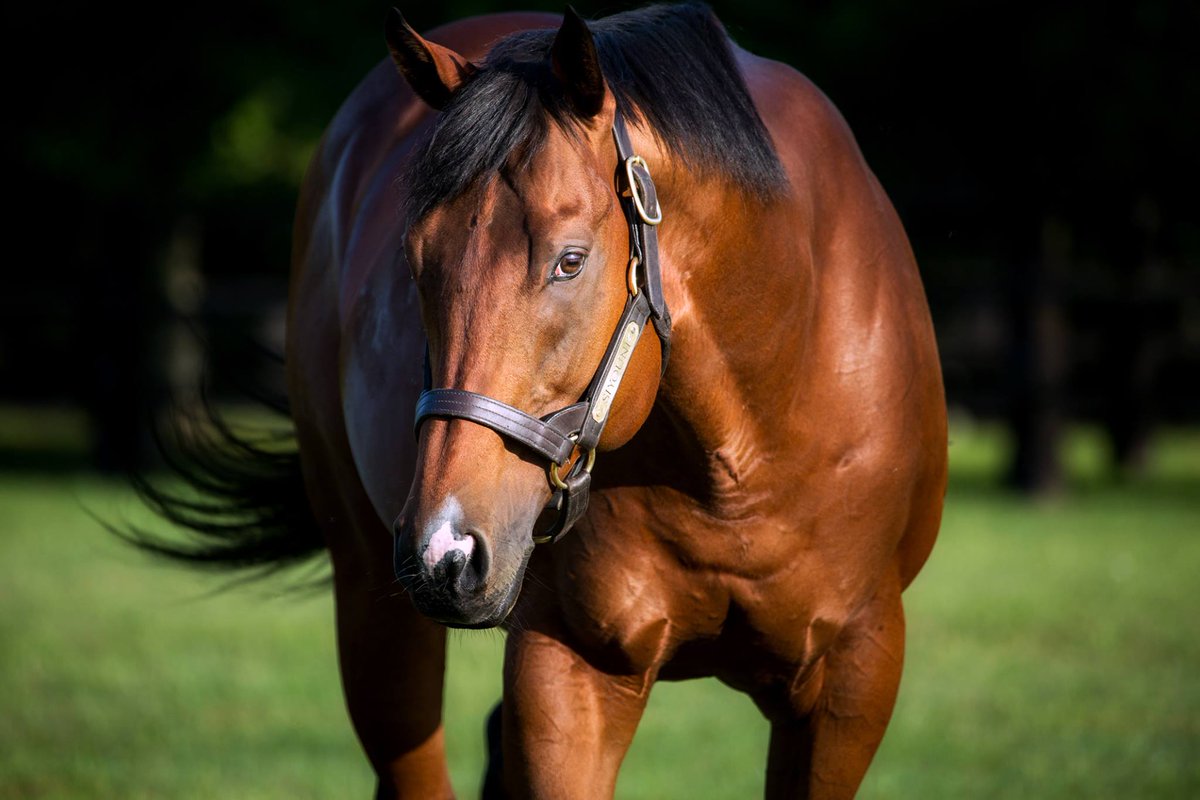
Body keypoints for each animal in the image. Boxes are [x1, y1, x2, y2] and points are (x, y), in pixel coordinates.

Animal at [138, 4, 947, 797]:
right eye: (415, 263)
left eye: (570, 262)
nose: (444, 550)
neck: (743, 454)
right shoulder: (566, 670)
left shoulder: (852, 679)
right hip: (373, 606)